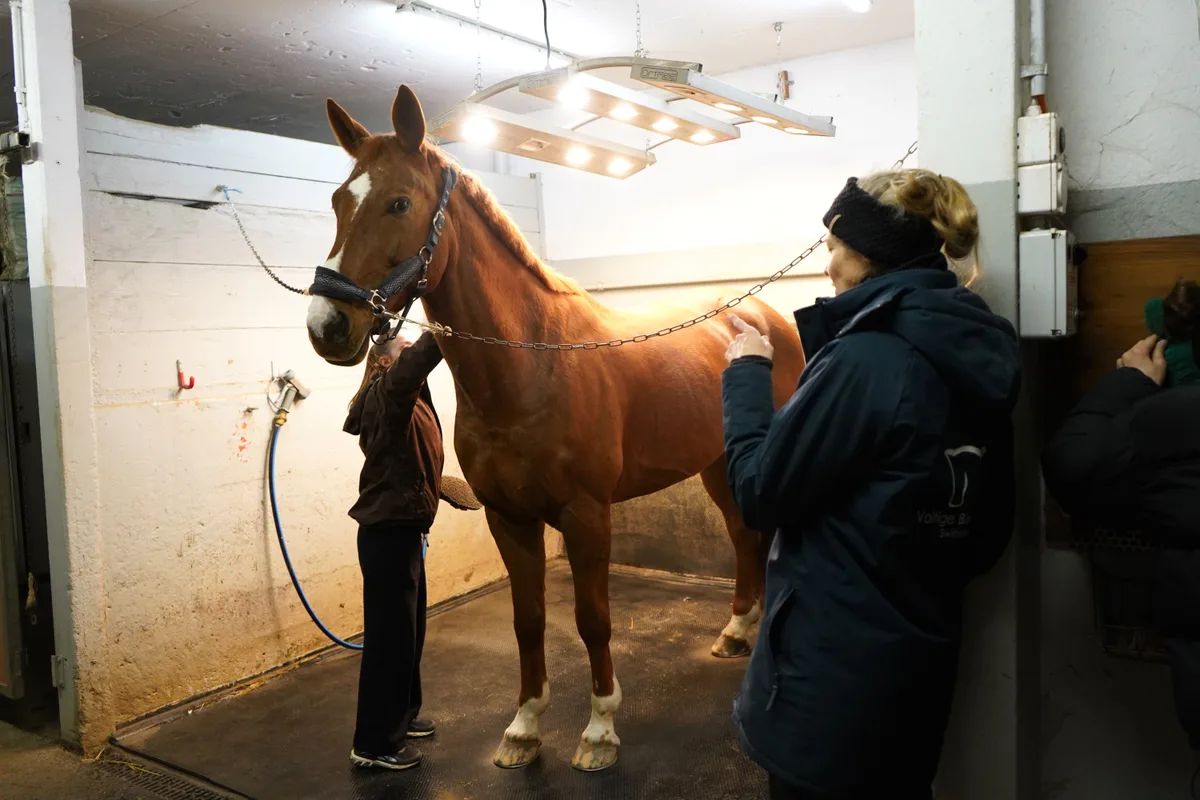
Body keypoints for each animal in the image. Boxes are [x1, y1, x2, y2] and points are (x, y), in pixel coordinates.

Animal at [305, 85, 807, 772]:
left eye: (399, 202)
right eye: (336, 200)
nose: (326, 325)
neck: (531, 364)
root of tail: (762, 314)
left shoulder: (587, 514)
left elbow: (593, 619)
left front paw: (599, 731)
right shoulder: (507, 518)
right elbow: (529, 620)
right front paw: (523, 728)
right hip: (713, 464)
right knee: (740, 532)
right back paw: (735, 630)